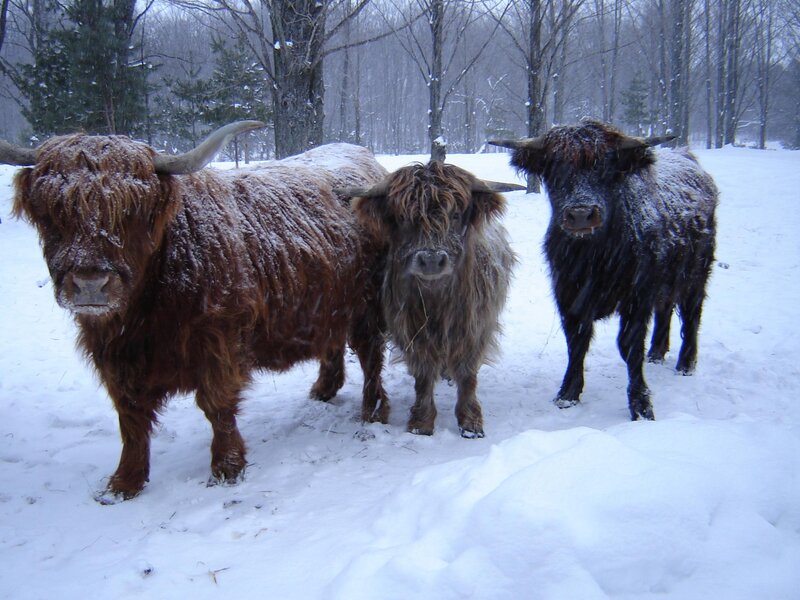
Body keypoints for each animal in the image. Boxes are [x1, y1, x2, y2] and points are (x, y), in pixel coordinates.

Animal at [1, 121, 390, 500]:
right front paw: (124, 482)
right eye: (52, 212)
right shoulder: (114, 355)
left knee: (370, 355)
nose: (90, 283)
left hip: (366, 305)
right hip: (330, 303)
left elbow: (216, 404)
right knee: (333, 341)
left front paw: (227, 467)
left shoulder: (218, 339)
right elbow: (130, 417)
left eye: (131, 212)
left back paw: (372, 411)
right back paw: (324, 389)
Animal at [339, 161, 520, 438]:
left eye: (456, 215)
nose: (432, 259)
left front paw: (470, 422)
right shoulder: (412, 331)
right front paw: (421, 423)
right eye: (403, 217)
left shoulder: (476, 328)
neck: (437, 302)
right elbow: (423, 377)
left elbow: (468, 375)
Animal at [490, 119, 718, 421]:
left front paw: (641, 405)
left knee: (692, 314)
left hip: (696, 273)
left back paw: (686, 364)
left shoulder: (636, 298)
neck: (593, 257)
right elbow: (577, 342)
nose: (581, 214)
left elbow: (629, 346)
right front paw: (568, 394)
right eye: (555, 168)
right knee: (666, 308)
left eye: (606, 167)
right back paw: (657, 352)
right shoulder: (568, 296)